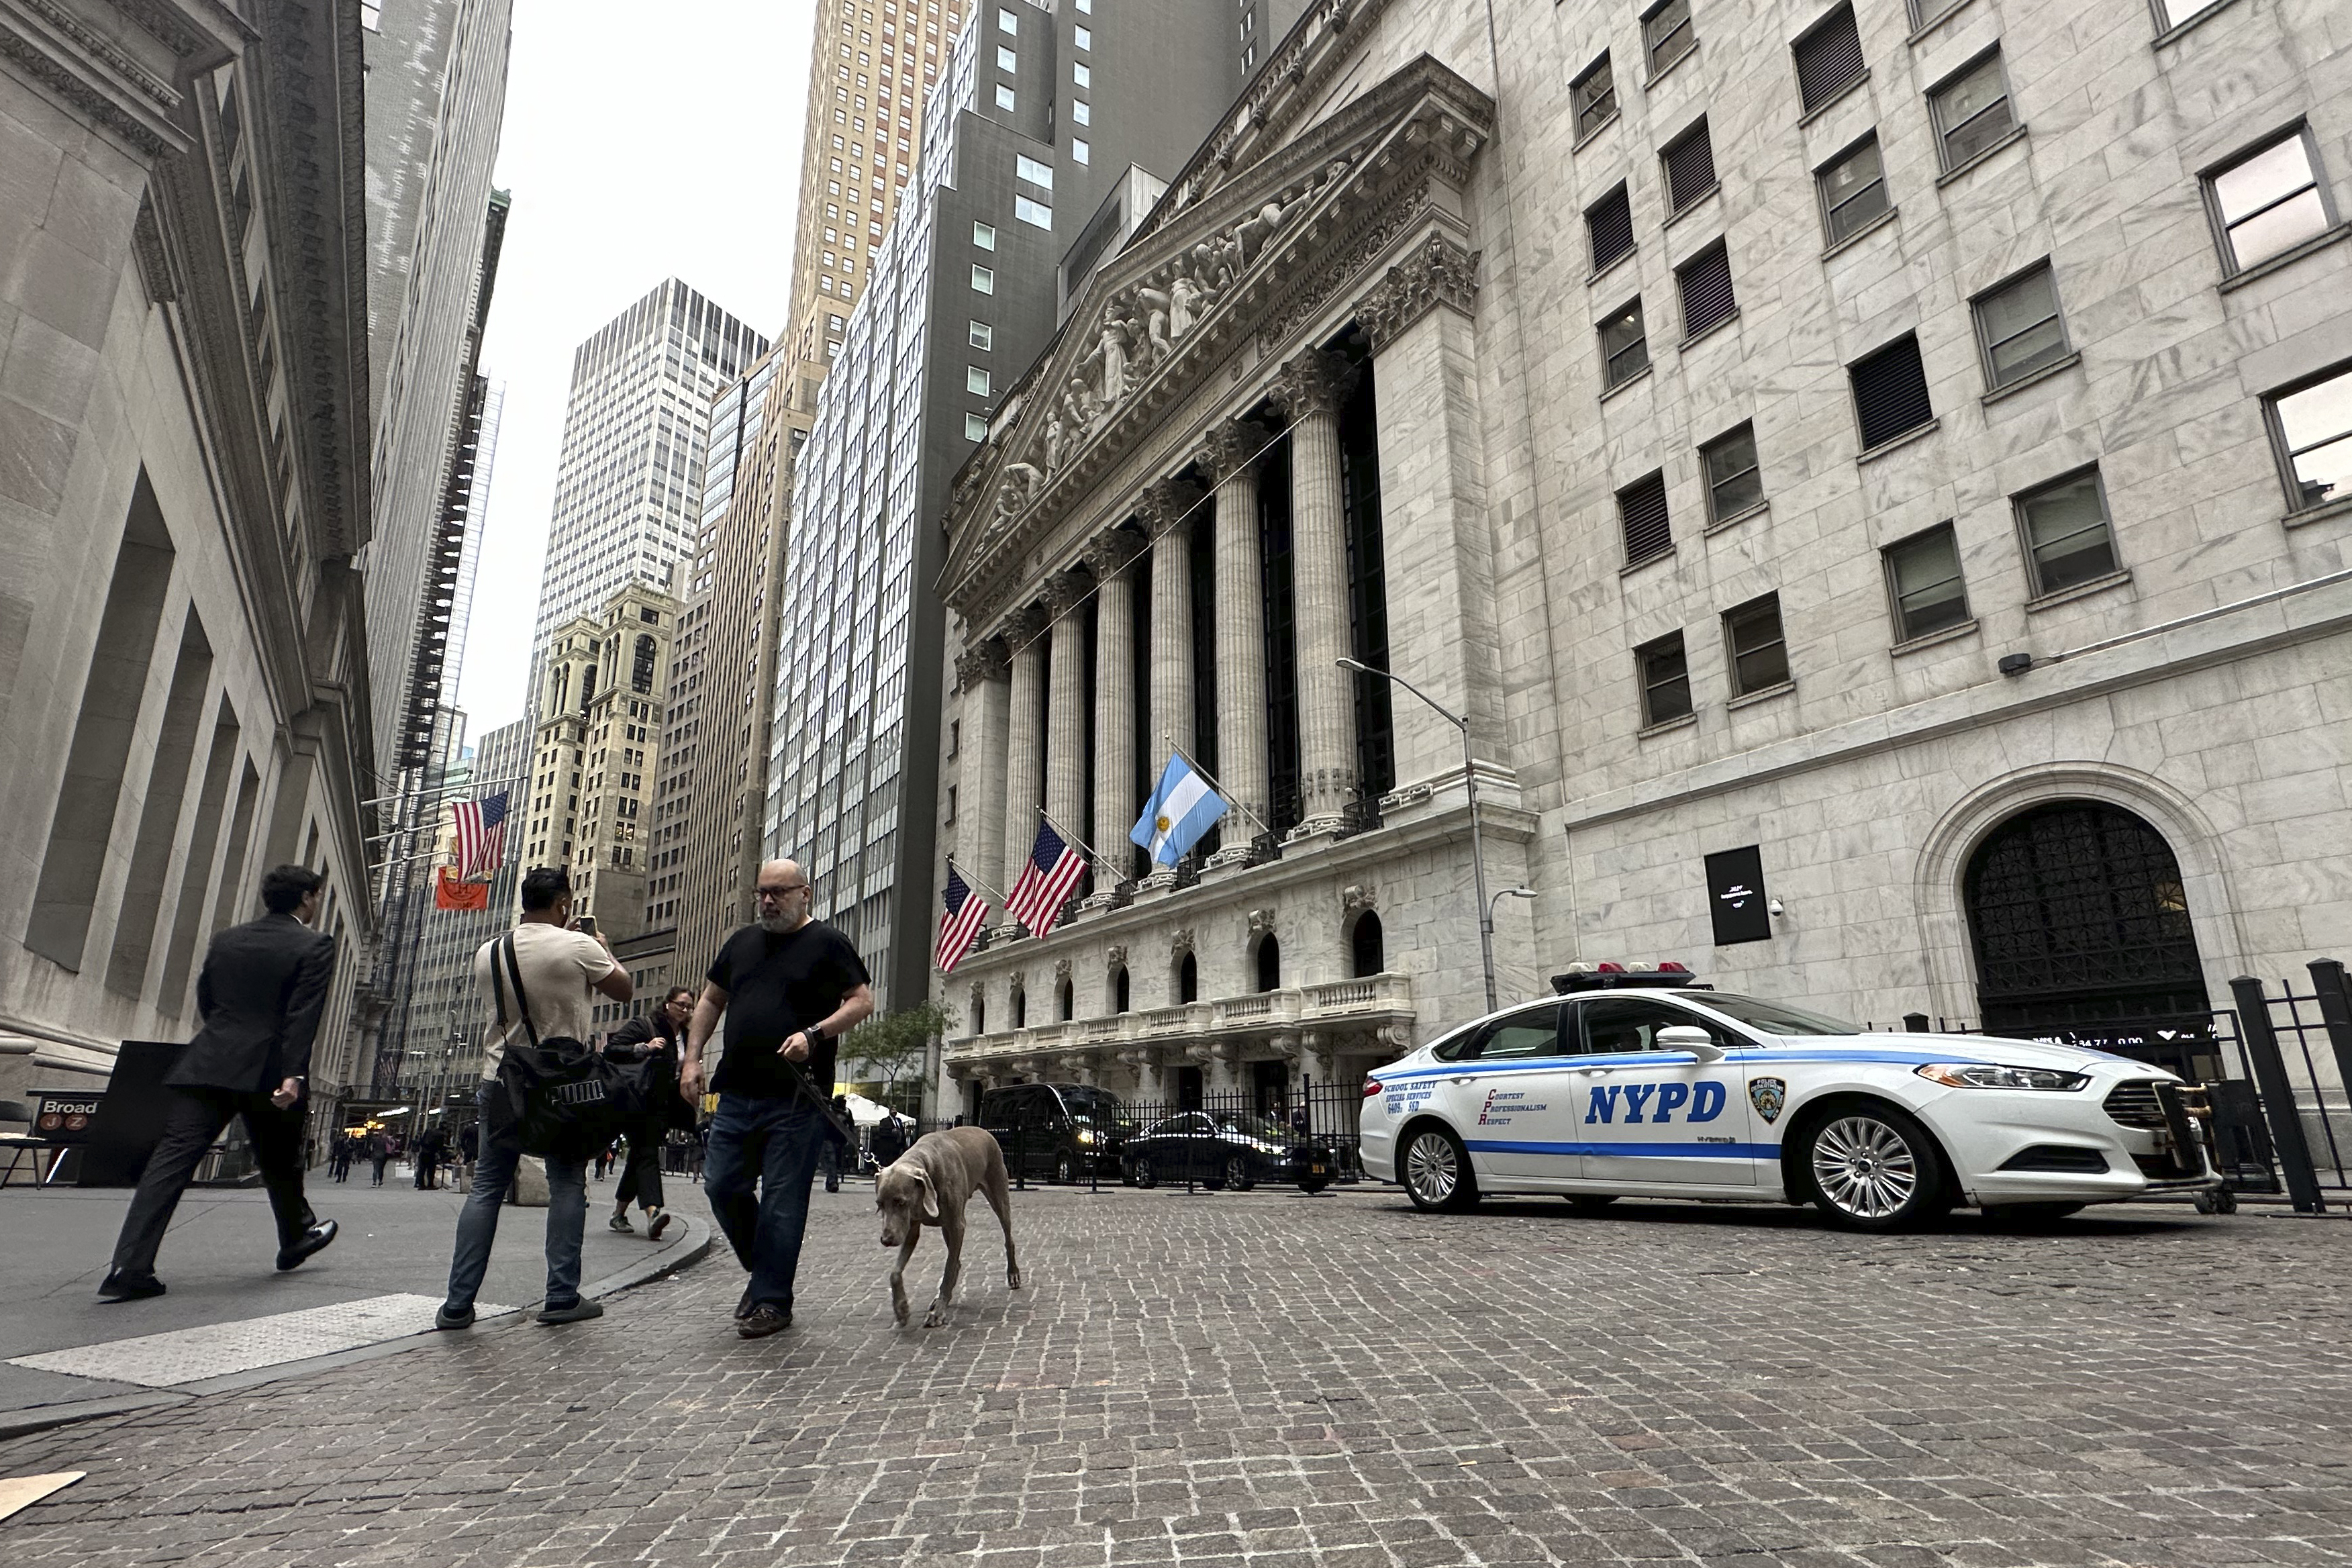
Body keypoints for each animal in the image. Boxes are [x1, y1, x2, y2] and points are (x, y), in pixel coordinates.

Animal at [875, 1124, 1020, 1335]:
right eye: (879, 1204)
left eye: (901, 1202)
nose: (886, 1240)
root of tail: (983, 1130)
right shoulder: (911, 1228)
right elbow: (895, 1273)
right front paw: (902, 1310)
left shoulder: (957, 1225)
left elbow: (948, 1268)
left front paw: (938, 1314)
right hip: (946, 1226)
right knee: (956, 1260)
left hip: (998, 1192)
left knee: (1008, 1238)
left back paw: (1013, 1274)